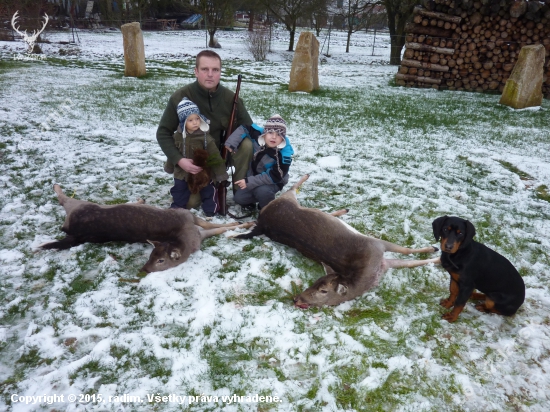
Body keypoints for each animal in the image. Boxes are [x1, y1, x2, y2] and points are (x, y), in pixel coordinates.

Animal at [235, 175, 442, 308]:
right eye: (314, 282)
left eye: (323, 289)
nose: (297, 299)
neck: (365, 274)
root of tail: (263, 223)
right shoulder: (377, 246)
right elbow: (407, 254)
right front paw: (435, 250)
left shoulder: (379, 252)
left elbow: (409, 257)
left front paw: (436, 253)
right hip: (286, 201)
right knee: (291, 188)